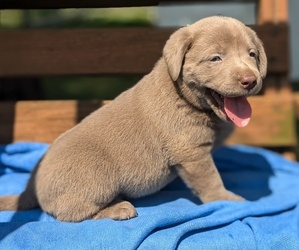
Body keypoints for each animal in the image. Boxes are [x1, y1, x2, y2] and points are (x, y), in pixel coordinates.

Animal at [0, 16, 268, 222]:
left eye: (252, 54)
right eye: (215, 58)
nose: (250, 80)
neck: (183, 96)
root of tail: (30, 189)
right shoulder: (193, 154)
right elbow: (210, 180)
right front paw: (227, 200)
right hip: (97, 176)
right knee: (70, 213)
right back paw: (117, 208)